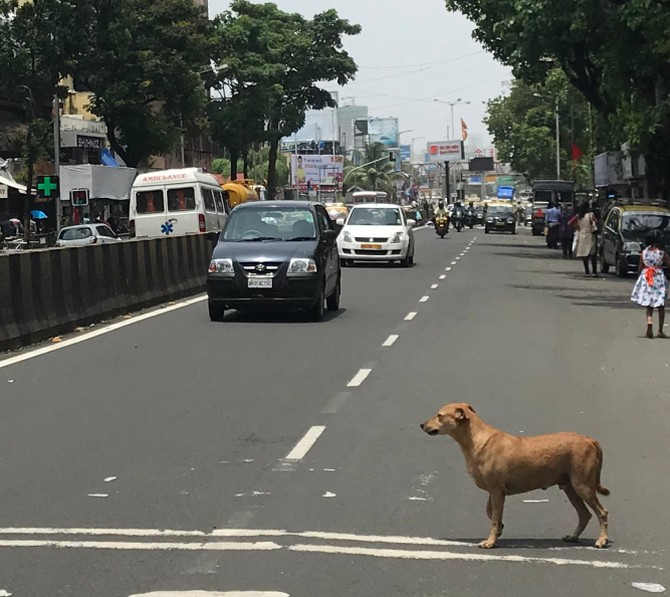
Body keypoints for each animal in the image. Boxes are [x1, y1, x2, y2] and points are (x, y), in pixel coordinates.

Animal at [422, 402, 612, 548]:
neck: (475, 439)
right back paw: (573, 537)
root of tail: (589, 439)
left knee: (602, 512)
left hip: (583, 485)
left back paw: (602, 540)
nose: (422, 425)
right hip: (570, 487)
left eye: (439, 415)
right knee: (585, 514)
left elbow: (494, 516)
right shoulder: (495, 491)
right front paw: (500, 529)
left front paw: (490, 541)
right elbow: (491, 513)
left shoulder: (496, 490)